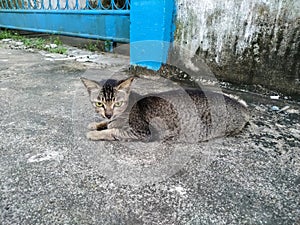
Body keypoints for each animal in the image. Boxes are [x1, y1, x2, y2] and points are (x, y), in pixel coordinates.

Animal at [81, 76, 250, 142]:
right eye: (99, 104)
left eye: (117, 103)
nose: (108, 114)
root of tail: (240, 105)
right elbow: (107, 124)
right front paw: (96, 124)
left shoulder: (143, 132)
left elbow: (113, 131)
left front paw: (95, 133)